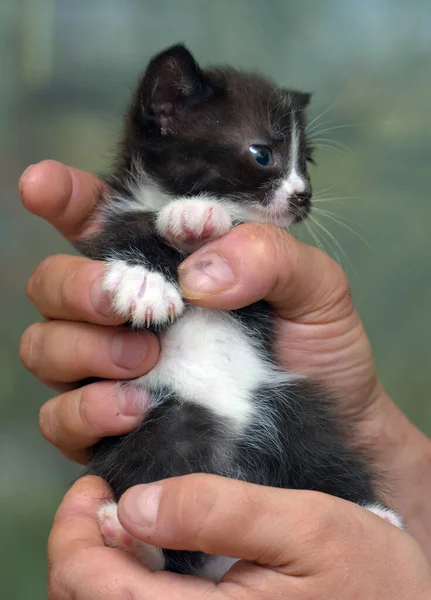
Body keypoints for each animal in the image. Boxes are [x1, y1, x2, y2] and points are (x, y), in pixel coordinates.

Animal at [76, 45, 404, 580]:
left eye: (307, 162)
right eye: (262, 154)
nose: (302, 196)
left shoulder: (257, 291)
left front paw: (196, 217)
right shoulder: (109, 227)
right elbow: (129, 232)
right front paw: (146, 278)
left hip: (292, 411)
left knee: (321, 454)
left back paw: (371, 512)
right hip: (158, 425)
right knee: (152, 486)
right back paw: (133, 537)